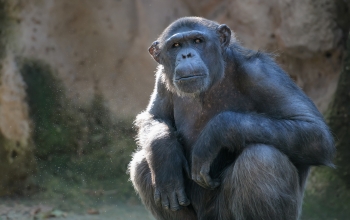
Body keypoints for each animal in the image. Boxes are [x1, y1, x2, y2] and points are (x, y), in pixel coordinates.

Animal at [128, 17, 334, 220]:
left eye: (197, 41)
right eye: (176, 45)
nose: (186, 55)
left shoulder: (262, 73)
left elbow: (313, 130)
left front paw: (212, 136)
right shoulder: (162, 80)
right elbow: (154, 117)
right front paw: (165, 158)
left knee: (262, 158)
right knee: (142, 164)